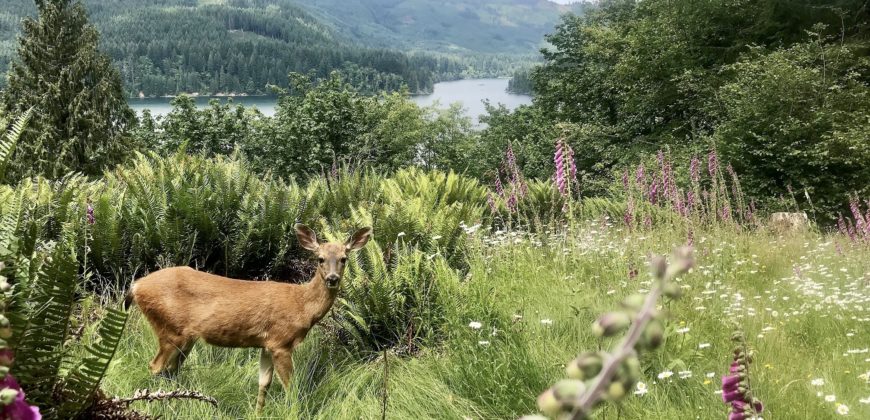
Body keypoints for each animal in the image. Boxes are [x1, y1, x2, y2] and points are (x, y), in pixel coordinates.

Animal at [125, 225, 372, 412]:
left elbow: (263, 384)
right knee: (156, 367)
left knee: (170, 371)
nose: (332, 278)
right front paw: (294, 411)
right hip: (168, 328)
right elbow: (291, 387)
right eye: (320, 259)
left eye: (344, 258)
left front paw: (258, 412)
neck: (301, 305)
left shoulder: (267, 344)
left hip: (185, 337)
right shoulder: (281, 341)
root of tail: (136, 286)